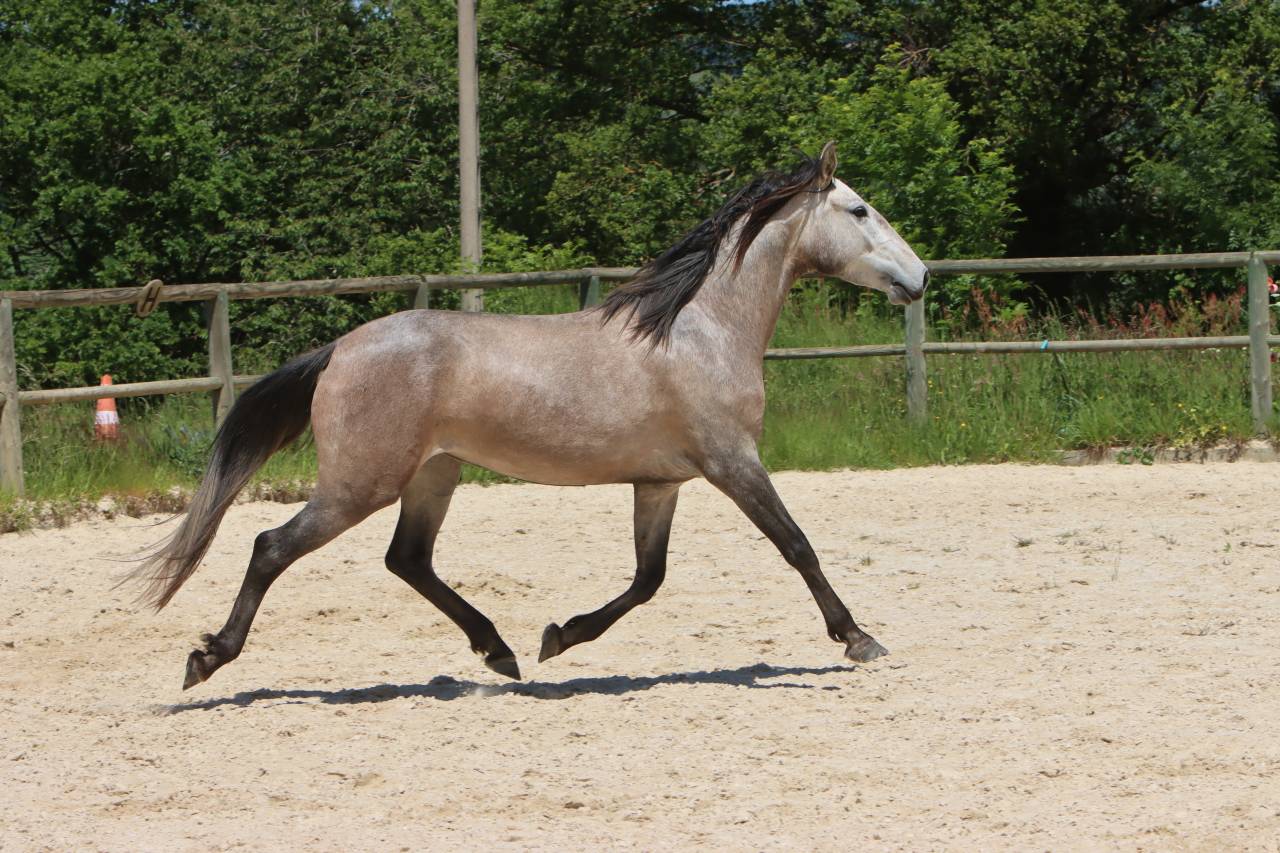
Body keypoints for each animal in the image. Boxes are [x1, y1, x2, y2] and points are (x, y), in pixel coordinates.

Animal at [131, 142, 929, 690]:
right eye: (859, 210)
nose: (920, 277)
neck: (698, 330)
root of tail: (338, 351)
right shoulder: (733, 462)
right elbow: (796, 545)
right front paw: (858, 637)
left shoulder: (662, 482)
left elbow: (648, 579)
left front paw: (559, 635)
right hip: (362, 483)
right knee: (272, 546)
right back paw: (208, 658)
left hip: (434, 475)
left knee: (407, 559)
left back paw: (502, 651)